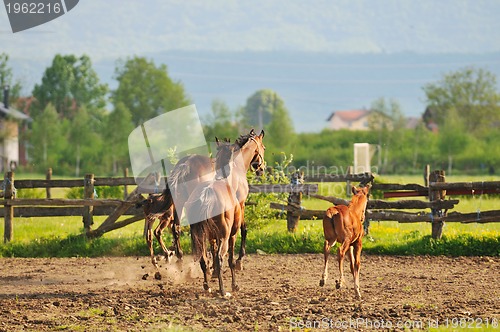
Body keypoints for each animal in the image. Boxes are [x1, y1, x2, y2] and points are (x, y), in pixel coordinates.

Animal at [187, 130, 266, 296]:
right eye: (263, 147)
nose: (261, 168)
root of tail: (205, 195)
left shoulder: (211, 235)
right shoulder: (239, 215)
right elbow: (241, 236)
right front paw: (237, 274)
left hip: (200, 235)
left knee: (203, 258)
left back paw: (208, 286)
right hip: (225, 233)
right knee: (220, 257)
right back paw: (223, 290)